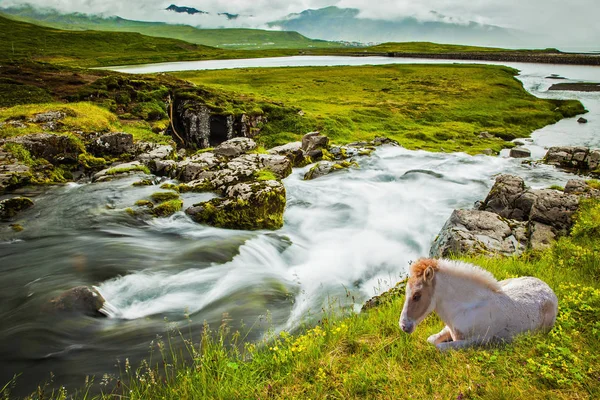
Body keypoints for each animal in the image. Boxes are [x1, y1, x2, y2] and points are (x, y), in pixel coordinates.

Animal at [398, 260, 556, 350]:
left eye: (417, 296)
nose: (404, 326)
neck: (465, 308)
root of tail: (547, 287)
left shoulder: (479, 341)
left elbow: (440, 347)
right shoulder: (449, 328)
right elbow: (431, 340)